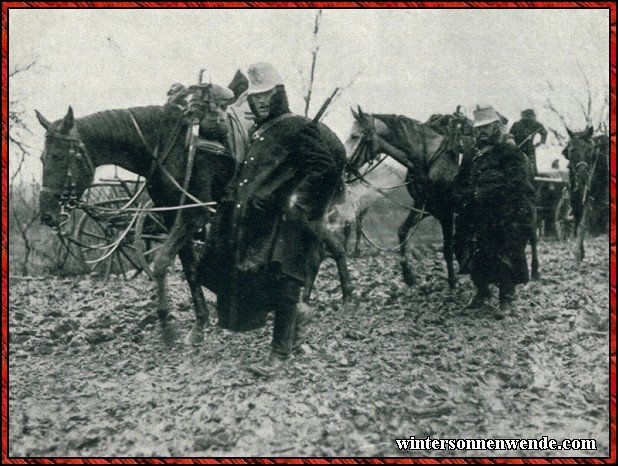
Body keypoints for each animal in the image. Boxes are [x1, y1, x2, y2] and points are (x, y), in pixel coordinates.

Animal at [36, 87, 233, 344]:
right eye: (42, 158)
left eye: (59, 155)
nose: (47, 214)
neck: (168, 144)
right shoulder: (174, 217)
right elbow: (189, 268)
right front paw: (198, 325)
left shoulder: (194, 214)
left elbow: (161, 263)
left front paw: (167, 324)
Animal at [560, 125, 608, 262]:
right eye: (571, 150)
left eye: (590, 150)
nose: (583, 175)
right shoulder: (575, 202)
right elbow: (579, 225)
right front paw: (580, 253)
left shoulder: (591, 201)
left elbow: (583, 225)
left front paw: (578, 254)